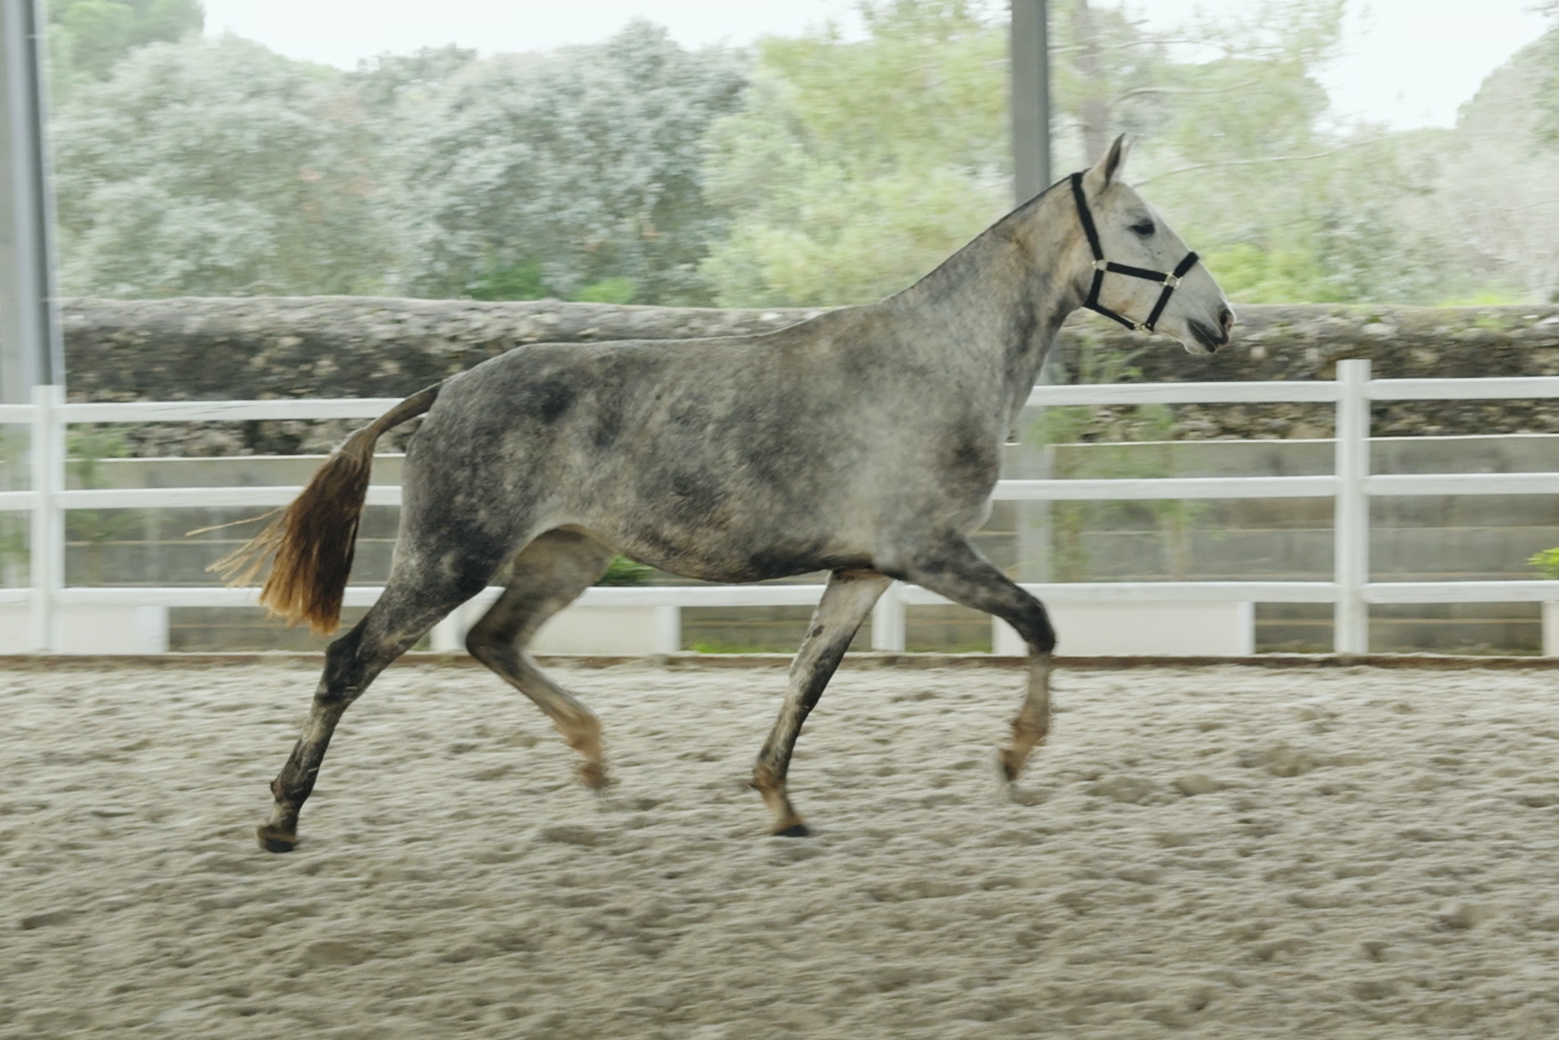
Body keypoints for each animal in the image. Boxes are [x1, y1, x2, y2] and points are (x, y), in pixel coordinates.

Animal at [216, 136, 1228, 854]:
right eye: (1141, 226)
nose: (1218, 320)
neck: (935, 362)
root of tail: (447, 389)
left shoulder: (863, 570)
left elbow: (806, 682)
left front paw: (778, 803)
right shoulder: (928, 552)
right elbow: (1038, 622)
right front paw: (1015, 756)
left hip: (563, 557)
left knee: (492, 642)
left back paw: (595, 761)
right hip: (448, 558)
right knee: (352, 659)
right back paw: (282, 818)